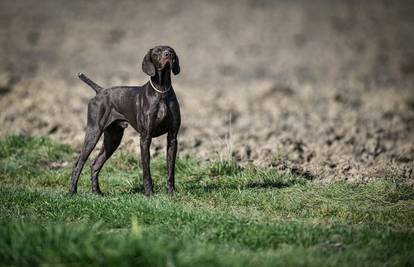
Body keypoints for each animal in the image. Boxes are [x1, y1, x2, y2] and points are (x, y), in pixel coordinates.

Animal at [68, 45, 180, 197]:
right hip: (93, 132)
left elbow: (170, 169)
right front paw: (148, 193)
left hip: (113, 138)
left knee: (95, 164)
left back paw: (97, 192)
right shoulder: (145, 138)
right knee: (79, 163)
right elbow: (146, 170)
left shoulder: (172, 138)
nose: (168, 54)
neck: (161, 90)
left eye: (171, 51)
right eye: (157, 51)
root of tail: (100, 90)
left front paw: (171, 192)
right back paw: (72, 191)